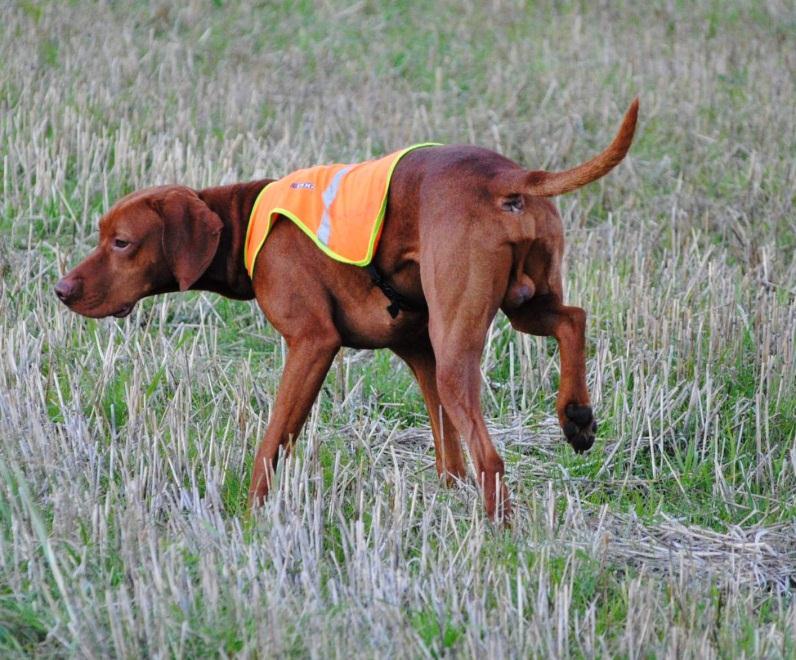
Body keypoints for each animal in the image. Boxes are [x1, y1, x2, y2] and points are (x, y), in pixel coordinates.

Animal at [56, 99, 640, 520]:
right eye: (103, 235)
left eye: (122, 243)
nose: (61, 289)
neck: (245, 220)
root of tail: (507, 178)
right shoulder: (418, 350)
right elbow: (446, 447)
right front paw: (445, 497)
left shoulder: (313, 343)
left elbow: (274, 440)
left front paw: (251, 513)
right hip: (521, 305)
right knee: (573, 318)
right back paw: (576, 417)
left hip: (458, 351)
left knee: (492, 457)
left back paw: (500, 530)